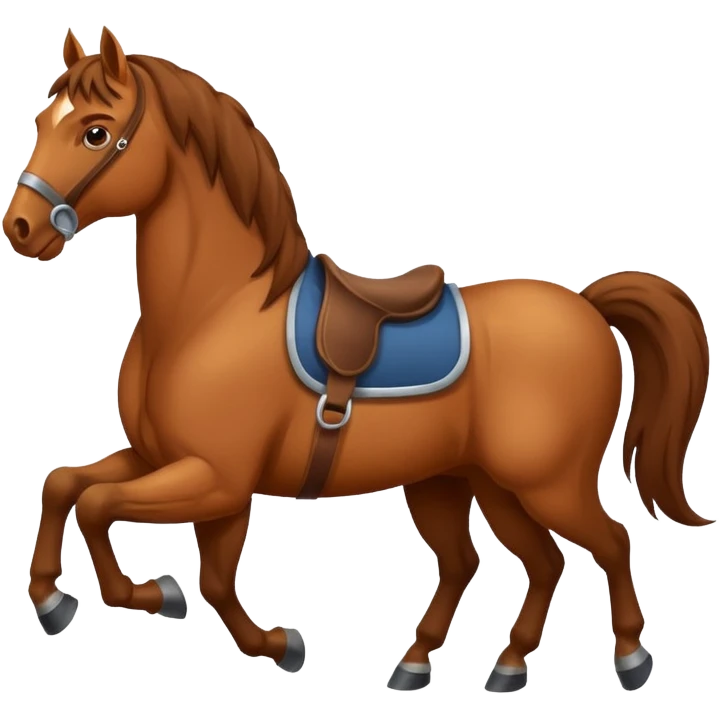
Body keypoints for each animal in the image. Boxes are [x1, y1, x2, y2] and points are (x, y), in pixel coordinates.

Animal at [4, 26, 712, 694]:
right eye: (40, 121)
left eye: (96, 132)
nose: (21, 229)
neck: (214, 310)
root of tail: (586, 305)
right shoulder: (165, 461)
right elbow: (70, 488)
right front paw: (56, 599)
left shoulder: (215, 477)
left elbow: (110, 514)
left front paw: (155, 597)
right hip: (466, 482)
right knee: (518, 562)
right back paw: (464, 666)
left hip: (546, 483)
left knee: (607, 542)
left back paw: (629, 658)